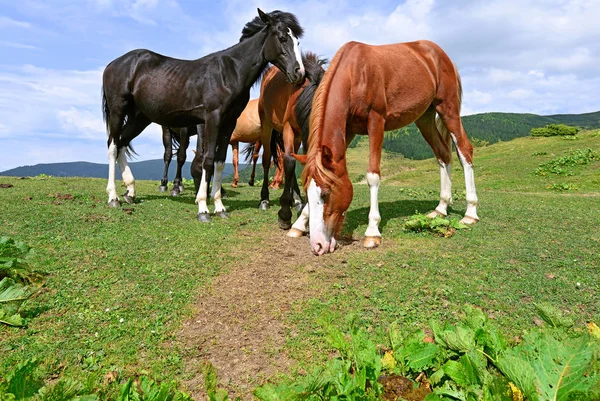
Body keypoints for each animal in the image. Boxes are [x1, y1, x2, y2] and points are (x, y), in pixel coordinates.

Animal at [101, 8, 304, 222]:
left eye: (297, 41)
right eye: (282, 38)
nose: (299, 73)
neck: (230, 72)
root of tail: (113, 64)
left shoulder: (228, 123)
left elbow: (219, 161)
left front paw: (219, 207)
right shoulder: (212, 119)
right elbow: (207, 159)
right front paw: (203, 208)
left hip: (140, 118)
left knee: (122, 143)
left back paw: (130, 191)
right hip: (118, 110)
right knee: (113, 146)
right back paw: (113, 197)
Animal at [255, 52, 326, 230]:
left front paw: (303, 204)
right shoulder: (288, 128)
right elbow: (288, 162)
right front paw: (285, 214)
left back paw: (297, 200)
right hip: (266, 124)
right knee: (267, 159)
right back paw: (264, 200)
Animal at [298, 39, 480, 253]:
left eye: (326, 193)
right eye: (307, 193)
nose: (318, 245)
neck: (356, 72)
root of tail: (441, 55)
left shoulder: (376, 121)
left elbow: (373, 176)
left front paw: (372, 231)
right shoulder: (348, 130)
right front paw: (298, 224)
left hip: (447, 108)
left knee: (465, 151)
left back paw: (470, 213)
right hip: (425, 117)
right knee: (443, 154)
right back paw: (440, 209)